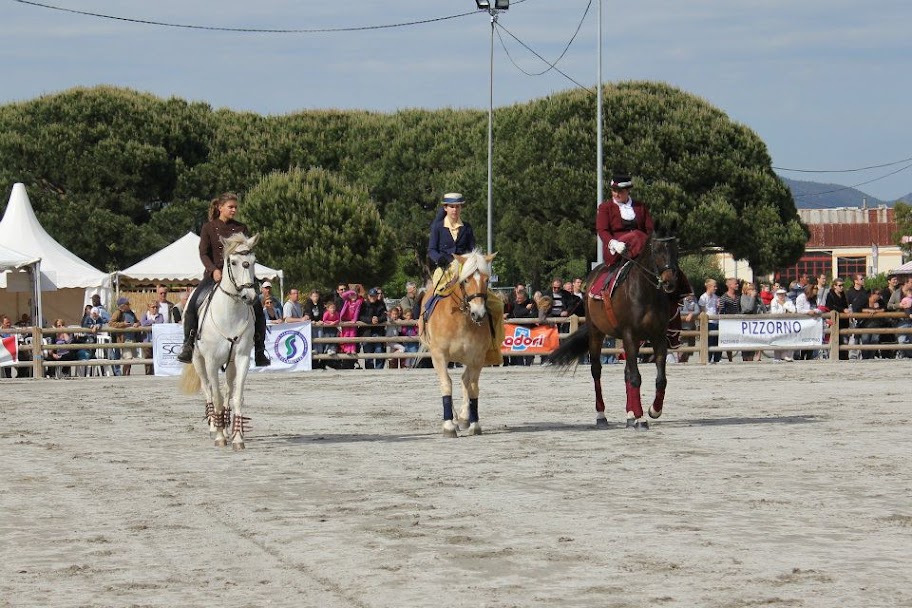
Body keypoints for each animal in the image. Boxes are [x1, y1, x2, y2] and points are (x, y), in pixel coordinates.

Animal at [180, 235, 260, 448]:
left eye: (253, 261)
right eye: (233, 262)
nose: (250, 296)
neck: (230, 312)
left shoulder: (241, 358)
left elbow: (237, 397)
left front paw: (238, 438)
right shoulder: (211, 361)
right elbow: (215, 397)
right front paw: (219, 436)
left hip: (230, 363)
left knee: (228, 391)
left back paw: (225, 424)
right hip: (198, 361)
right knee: (208, 390)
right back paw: (214, 426)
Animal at [422, 249, 496, 440]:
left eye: (486, 280)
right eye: (466, 280)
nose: (479, 313)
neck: (461, 319)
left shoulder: (477, 357)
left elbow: (473, 387)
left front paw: (475, 424)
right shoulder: (439, 356)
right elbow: (446, 384)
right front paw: (448, 425)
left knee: (465, 380)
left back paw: (464, 417)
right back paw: (455, 419)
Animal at [544, 233, 680, 428]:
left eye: (676, 251)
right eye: (656, 251)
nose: (670, 281)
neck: (646, 293)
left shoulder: (658, 337)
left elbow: (660, 379)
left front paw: (653, 410)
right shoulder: (630, 334)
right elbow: (635, 378)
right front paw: (641, 418)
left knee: (626, 373)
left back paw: (630, 415)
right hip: (596, 333)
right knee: (596, 370)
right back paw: (602, 415)